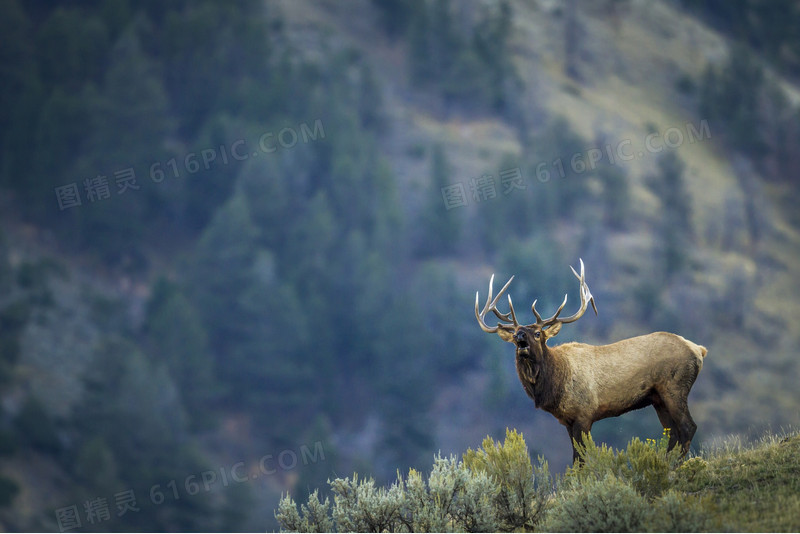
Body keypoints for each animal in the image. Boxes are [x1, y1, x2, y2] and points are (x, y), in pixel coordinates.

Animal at [476, 262, 708, 462]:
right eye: (516, 333)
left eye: (538, 333)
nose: (520, 337)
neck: (555, 385)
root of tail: (698, 349)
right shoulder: (567, 421)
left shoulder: (584, 414)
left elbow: (581, 458)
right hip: (658, 399)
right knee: (673, 433)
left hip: (674, 387)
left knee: (688, 427)